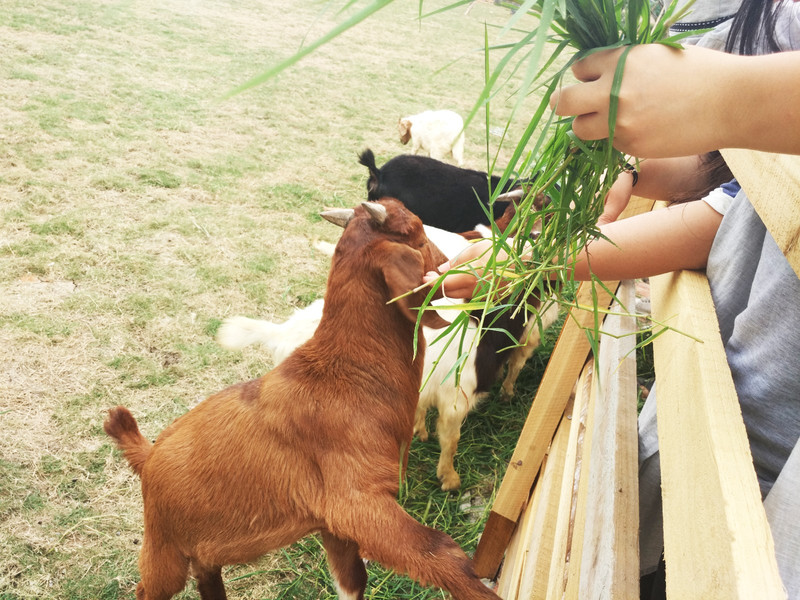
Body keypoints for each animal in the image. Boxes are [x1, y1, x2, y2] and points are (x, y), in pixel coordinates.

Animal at [102, 200, 496, 600]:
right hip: (163, 544)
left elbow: (352, 581)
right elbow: (438, 550)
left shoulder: (333, 522)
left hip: (202, 545)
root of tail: (148, 456)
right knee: (149, 588)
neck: (345, 374)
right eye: (418, 235)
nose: (447, 261)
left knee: (207, 573)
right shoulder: (356, 501)